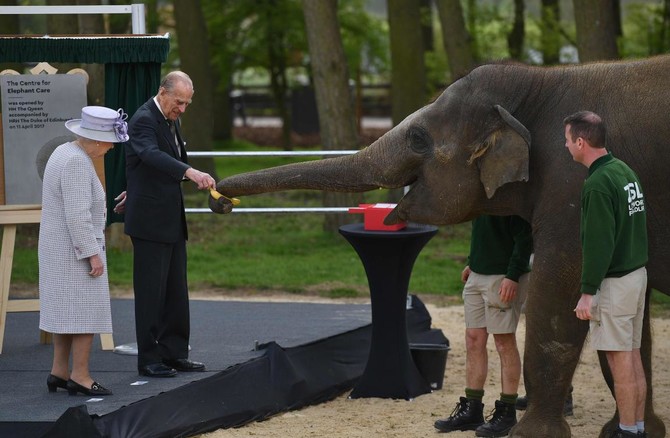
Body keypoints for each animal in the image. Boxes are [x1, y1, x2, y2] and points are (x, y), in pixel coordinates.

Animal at [211, 55, 670, 438]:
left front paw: (533, 436)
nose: (219, 199)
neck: (542, 81)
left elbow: (557, 298)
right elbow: (632, 326)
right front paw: (634, 431)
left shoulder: (573, 189)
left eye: (417, 138)